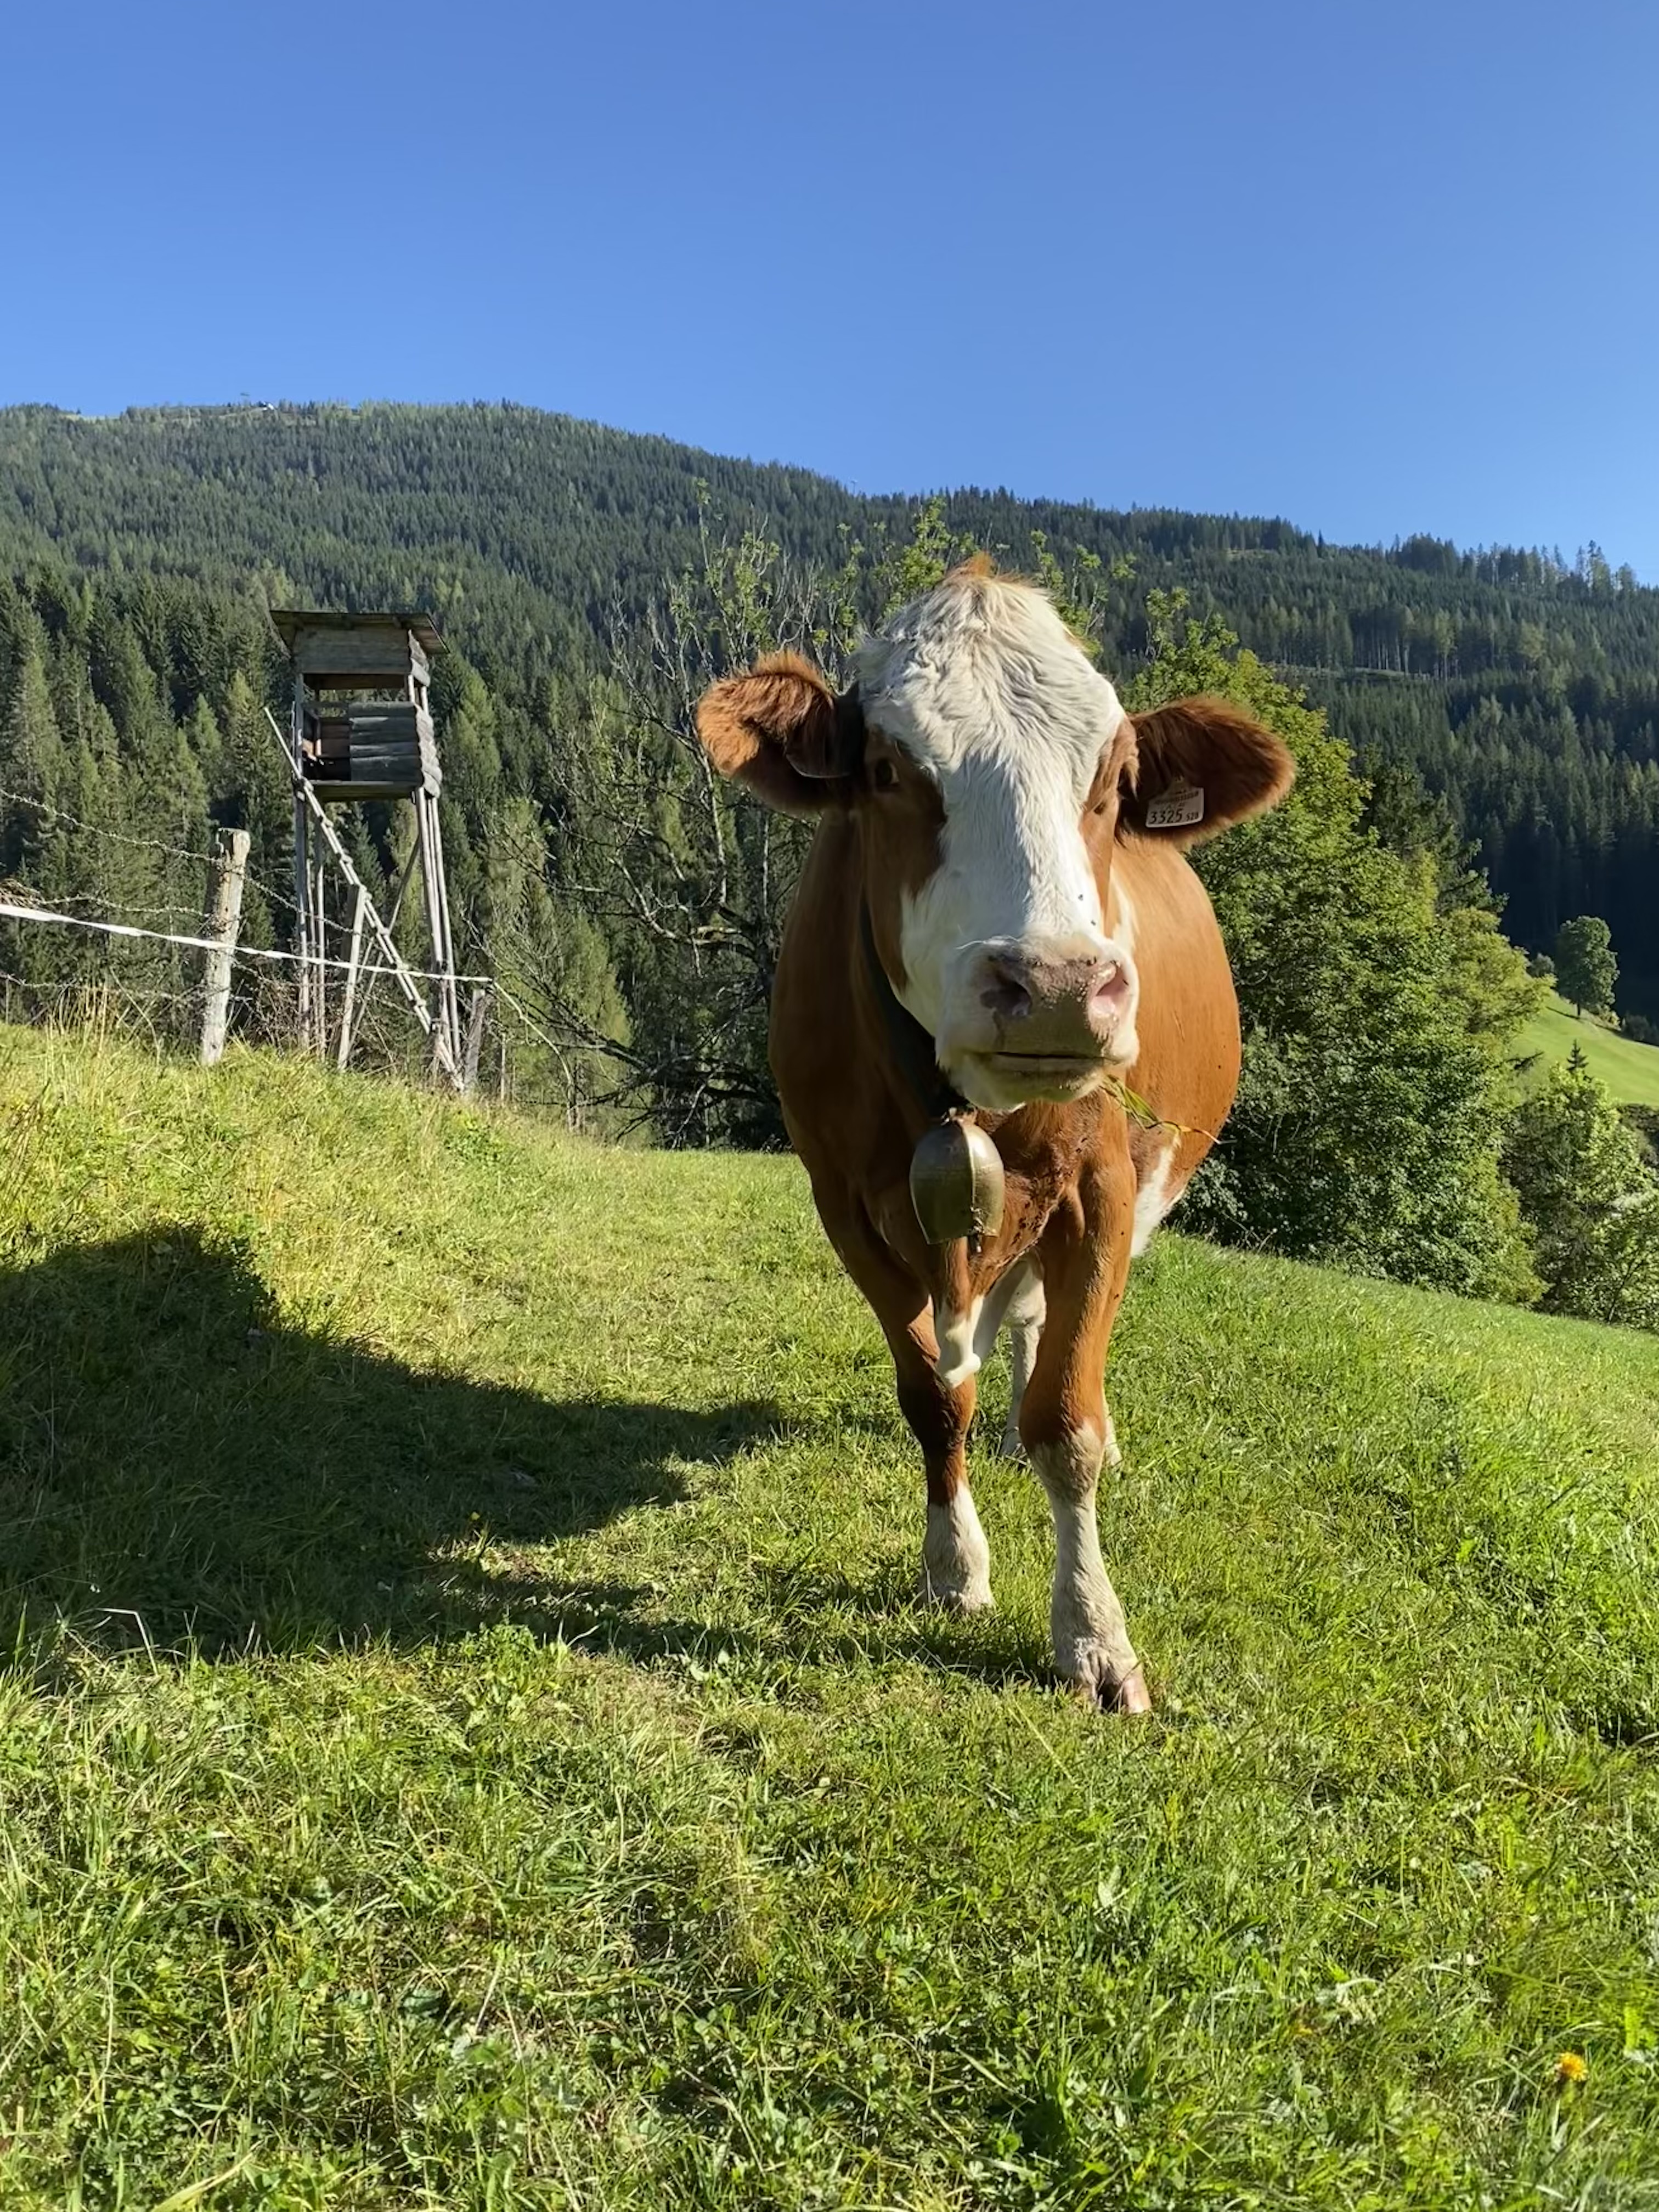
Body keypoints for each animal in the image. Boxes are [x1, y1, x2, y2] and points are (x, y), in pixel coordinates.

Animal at [696, 560, 1294, 1712]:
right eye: (886, 768)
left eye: (1110, 782)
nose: (1056, 983)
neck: (950, 1104)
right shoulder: (843, 1202)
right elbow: (932, 1393)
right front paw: (953, 1563)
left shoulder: (1101, 1186)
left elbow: (1068, 1422)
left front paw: (1094, 1636)